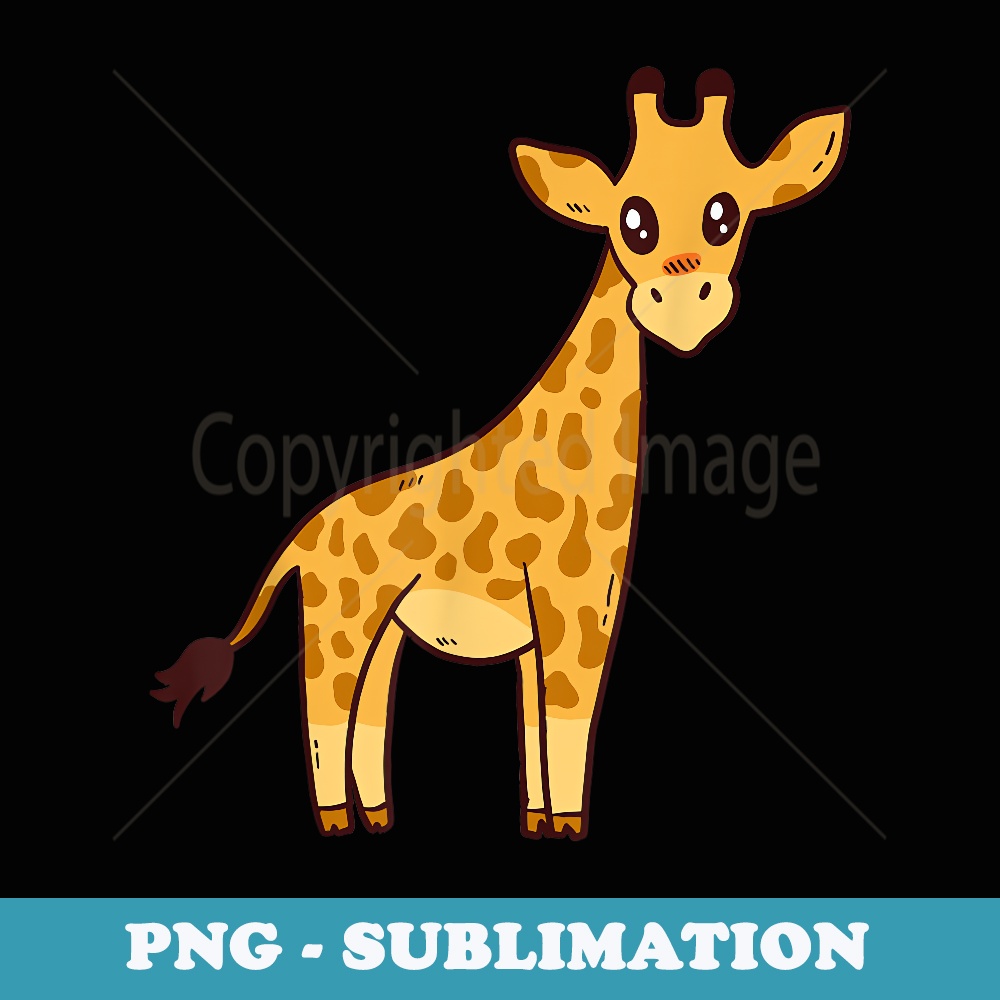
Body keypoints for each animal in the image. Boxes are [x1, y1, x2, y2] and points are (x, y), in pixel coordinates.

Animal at [152, 67, 849, 840]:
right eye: (632, 218)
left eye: (727, 213)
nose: (682, 302)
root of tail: (300, 542)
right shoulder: (572, 605)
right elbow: (567, 720)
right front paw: (569, 829)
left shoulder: (564, 618)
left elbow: (535, 728)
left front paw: (541, 823)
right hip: (337, 620)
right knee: (326, 712)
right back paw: (335, 823)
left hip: (384, 629)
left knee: (369, 712)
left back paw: (379, 818)